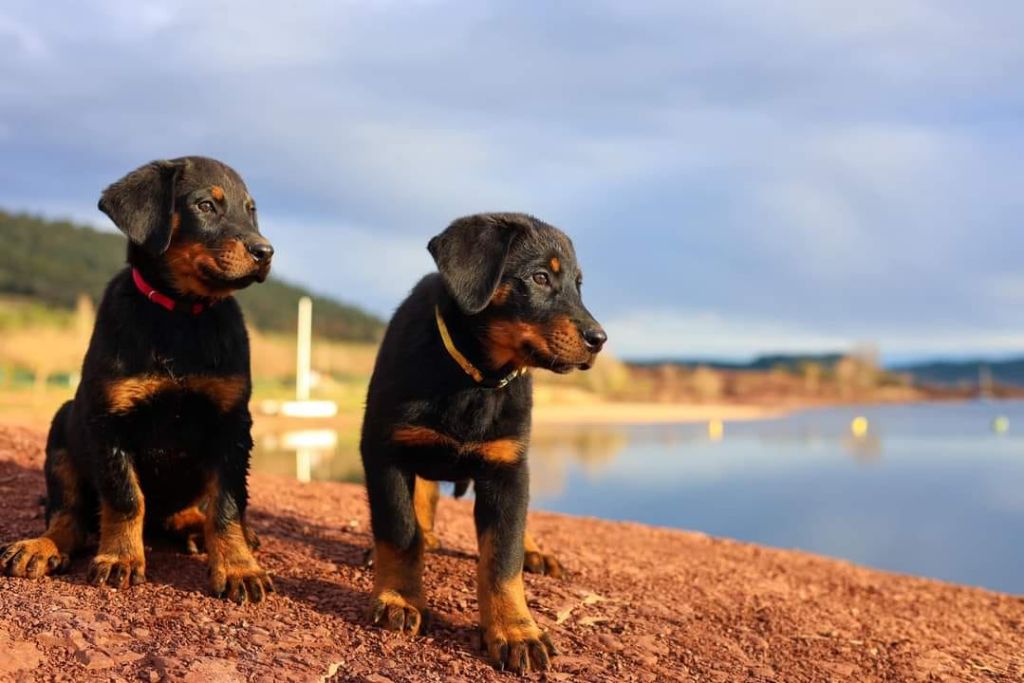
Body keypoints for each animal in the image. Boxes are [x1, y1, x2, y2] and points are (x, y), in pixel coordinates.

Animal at [0, 156, 276, 602]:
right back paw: (42, 546)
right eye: (205, 206)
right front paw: (120, 558)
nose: (265, 251)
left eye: (250, 210)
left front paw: (238, 567)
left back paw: (201, 529)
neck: (180, 315)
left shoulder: (232, 423)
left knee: (187, 509)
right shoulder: (109, 418)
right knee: (69, 514)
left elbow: (227, 504)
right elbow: (125, 496)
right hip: (62, 431)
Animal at [358, 214, 602, 671]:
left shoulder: (507, 469)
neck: (474, 378)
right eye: (540, 277)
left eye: (579, 285)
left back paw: (534, 552)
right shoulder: (386, 452)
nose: (599, 339)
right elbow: (400, 532)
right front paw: (400, 598)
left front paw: (516, 630)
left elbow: (502, 560)